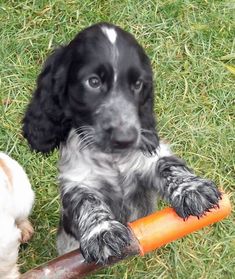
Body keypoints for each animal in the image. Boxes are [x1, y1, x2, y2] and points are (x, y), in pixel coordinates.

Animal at [22, 22, 220, 264]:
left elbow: (166, 164)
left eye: (138, 84)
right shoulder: (77, 180)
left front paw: (192, 189)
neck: (112, 158)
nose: (125, 138)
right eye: (94, 82)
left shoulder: (148, 159)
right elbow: (87, 201)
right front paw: (102, 232)